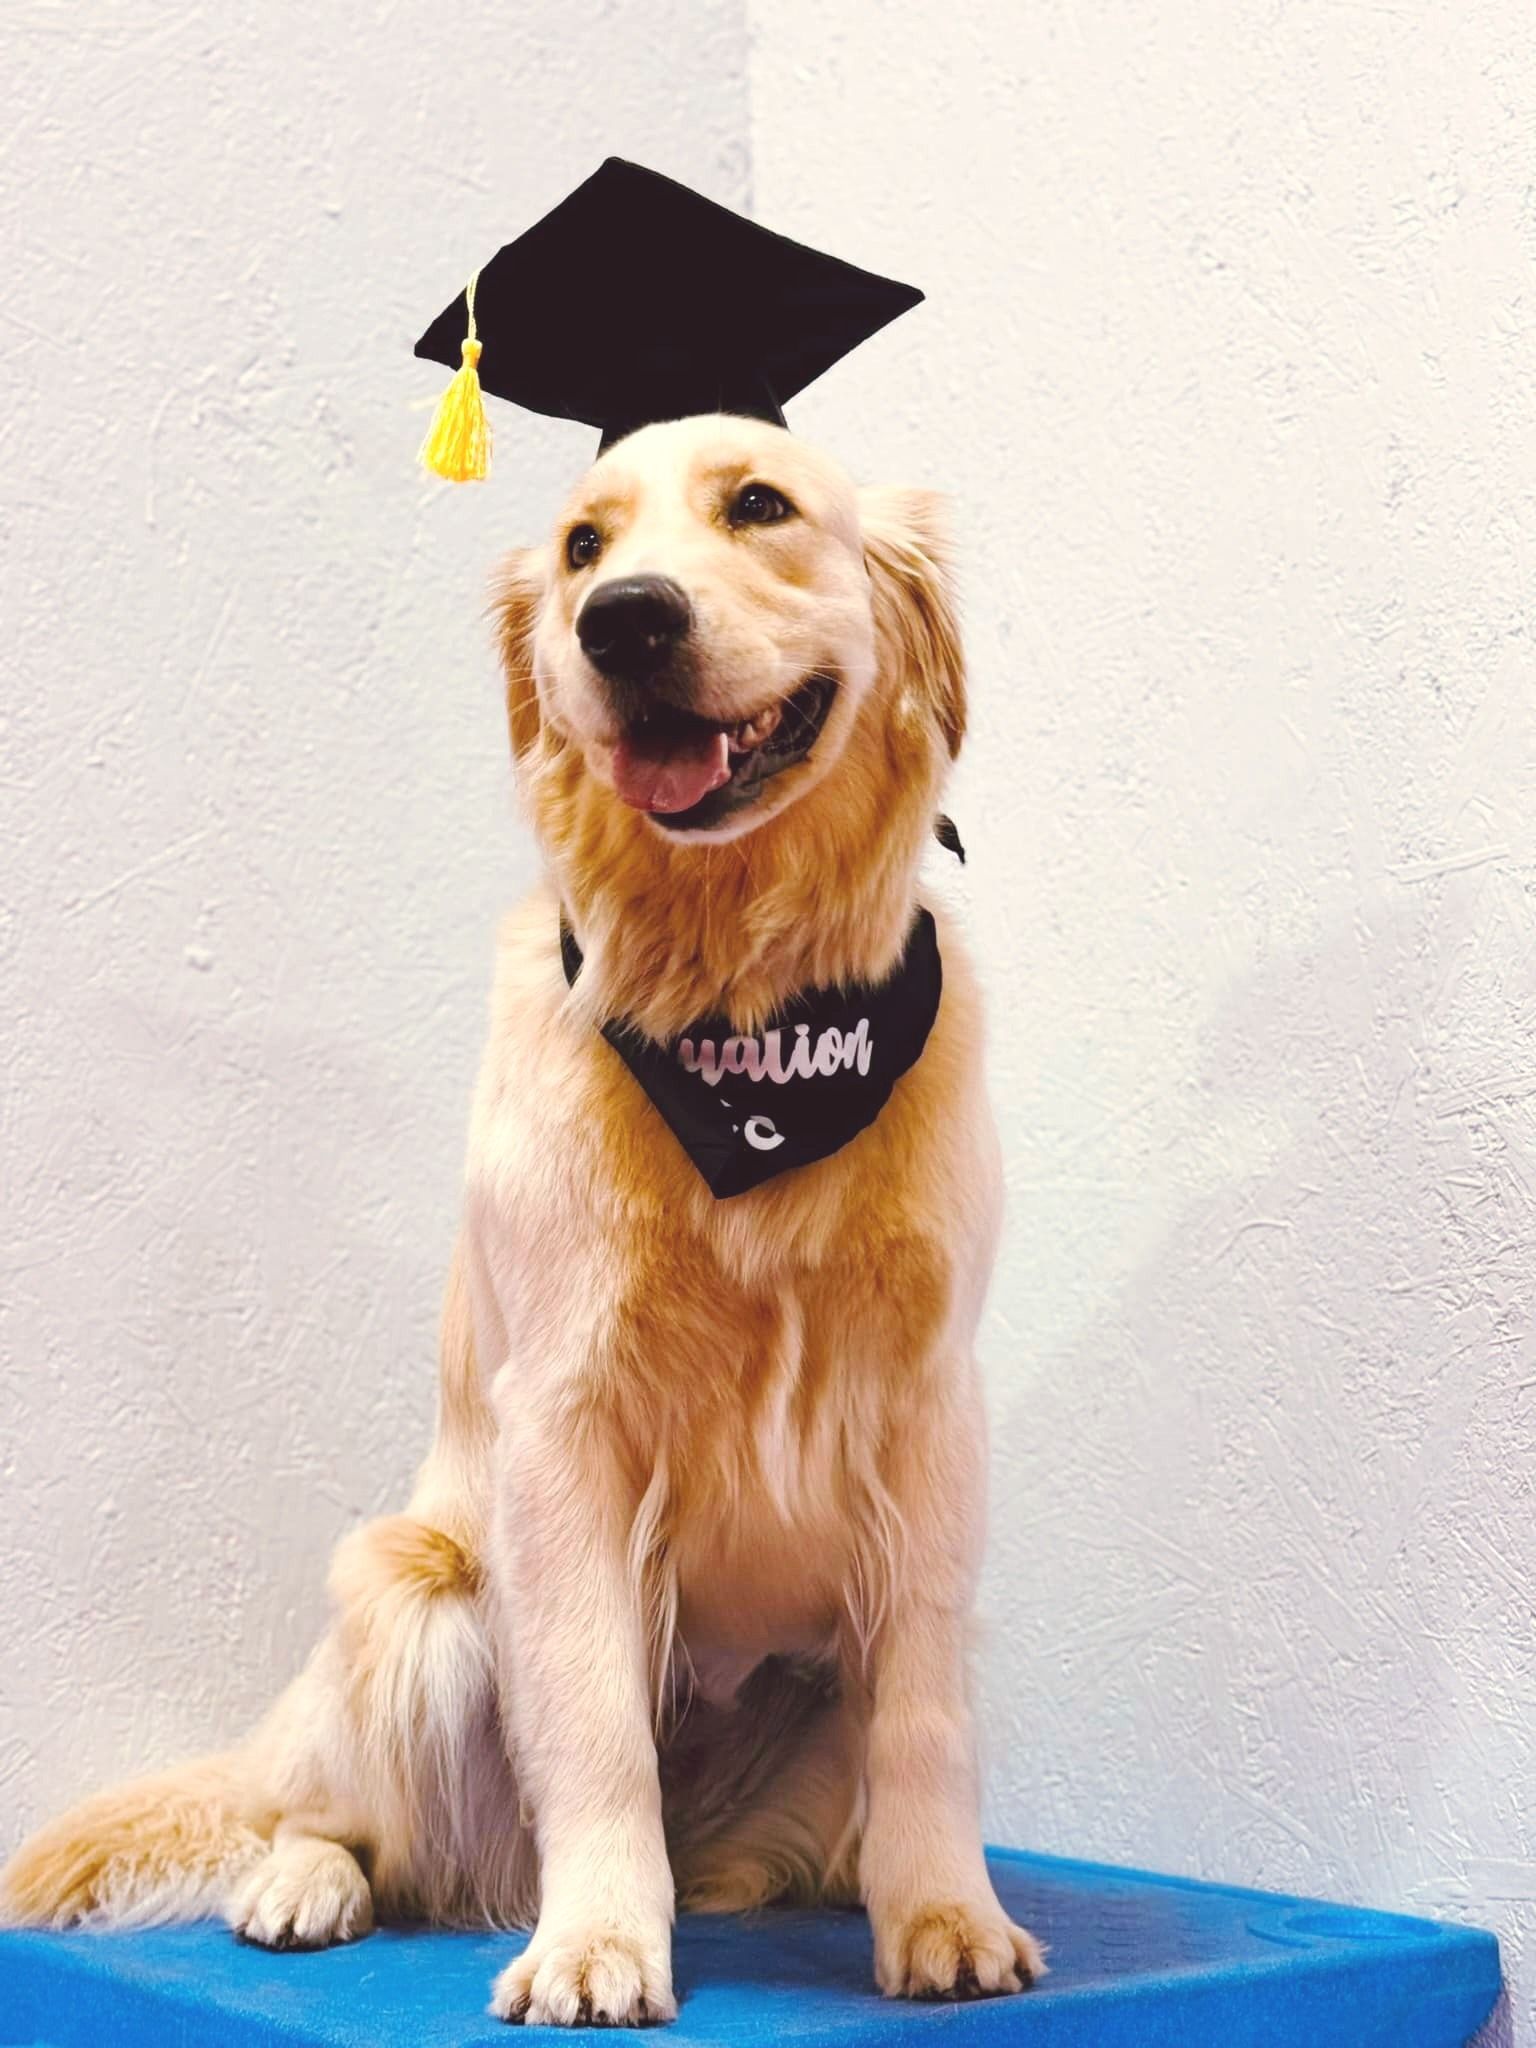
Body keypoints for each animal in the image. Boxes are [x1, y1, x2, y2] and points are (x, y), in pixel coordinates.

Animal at [3, 411, 1048, 2015]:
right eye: (580, 548)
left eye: (761, 506)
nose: (625, 621)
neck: (743, 1019)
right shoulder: (567, 1422)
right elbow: (595, 1725)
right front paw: (598, 1942)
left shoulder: (929, 1413)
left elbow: (927, 1715)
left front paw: (944, 1915)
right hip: (416, 1602)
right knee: (346, 1826)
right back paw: (304, 1884)